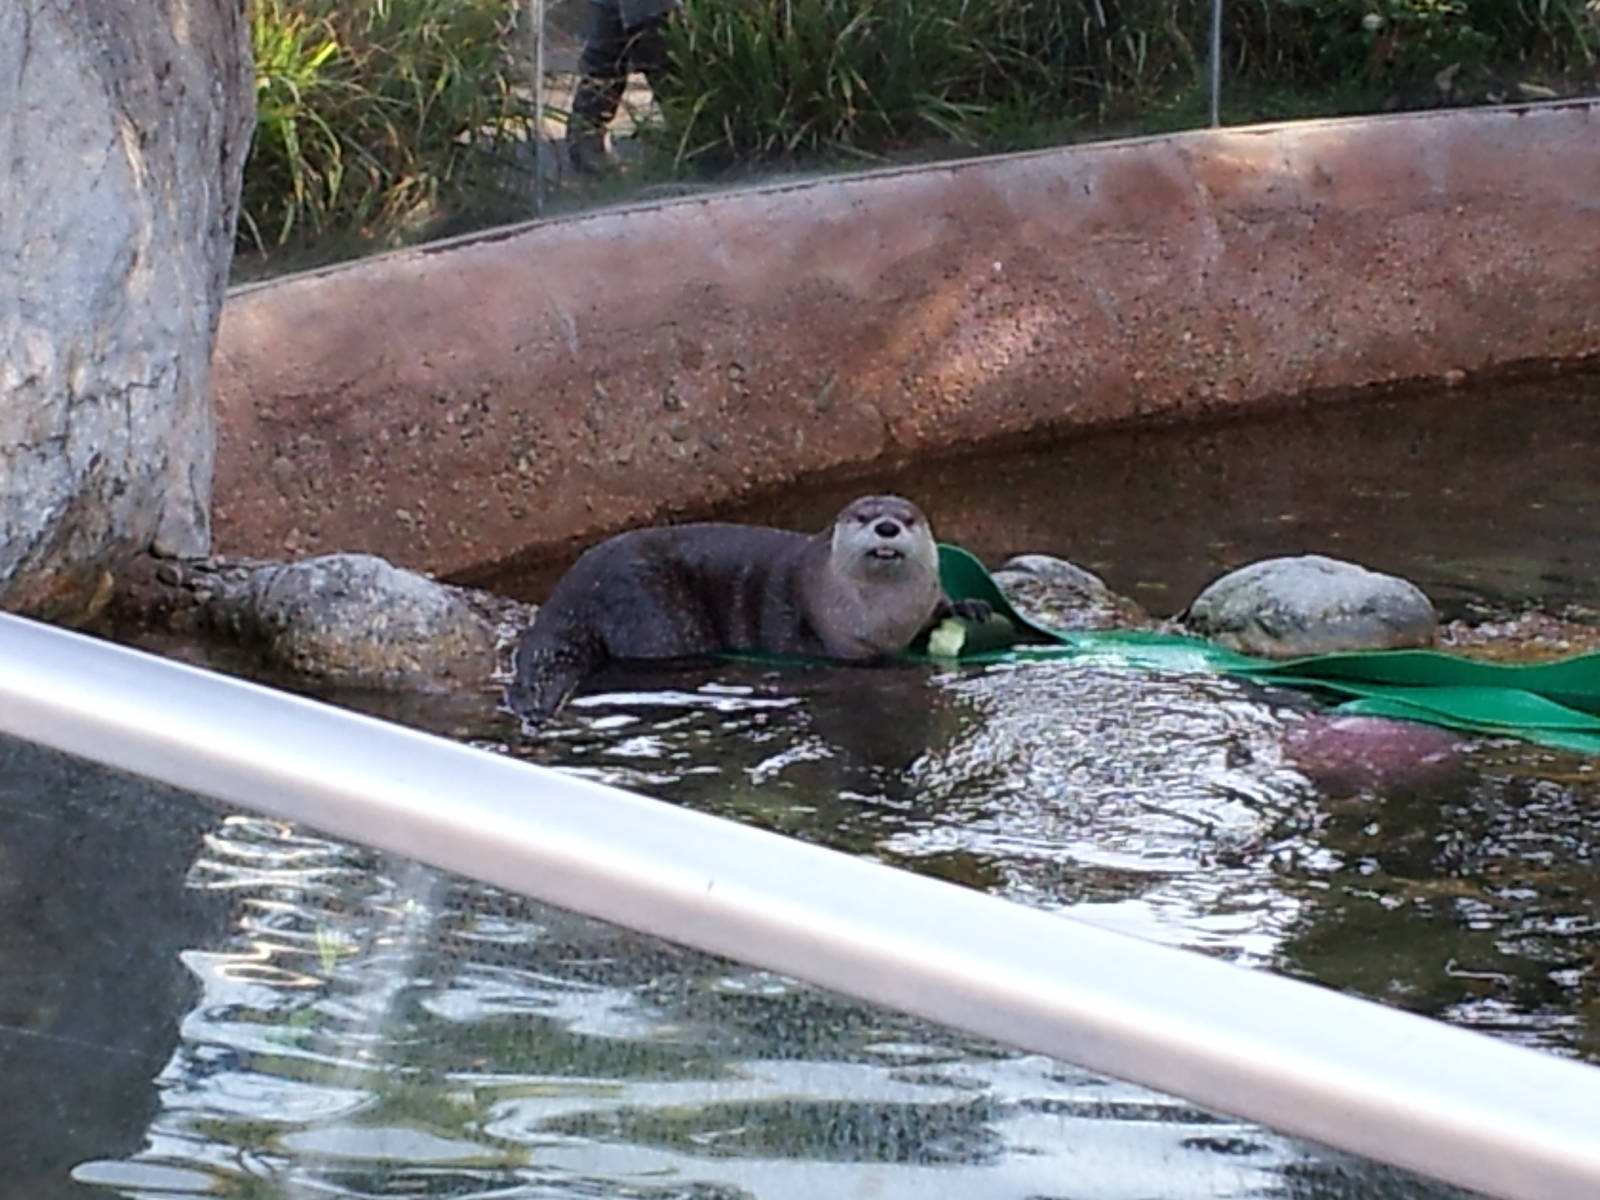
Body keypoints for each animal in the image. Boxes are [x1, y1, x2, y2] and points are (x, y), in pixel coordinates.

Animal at [506, 495, 985, 726]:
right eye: (863, 516)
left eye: (907, 519)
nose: (886, 527)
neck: (885, 618)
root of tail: (572, 590)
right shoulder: (831, 637)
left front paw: (971, 606)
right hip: (651, 608)